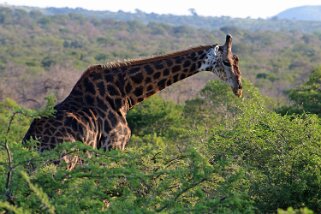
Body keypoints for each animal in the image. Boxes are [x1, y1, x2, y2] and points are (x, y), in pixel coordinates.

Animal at [22, 34, 241, 152]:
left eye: (237, 60)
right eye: (226, 62)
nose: (239, 87)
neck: (125, 94)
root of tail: (31, 140)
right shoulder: (114, 145)